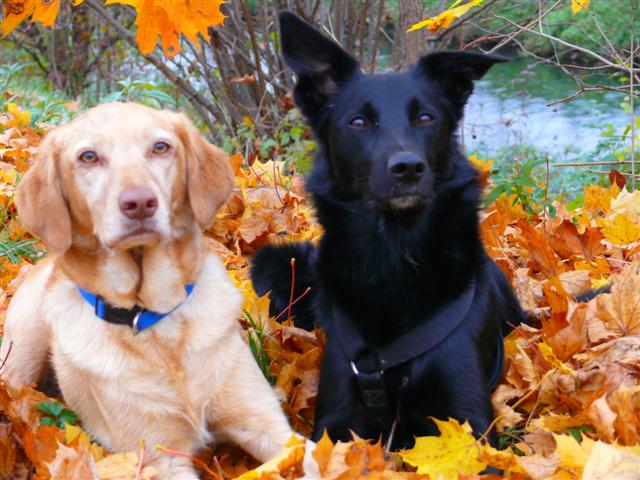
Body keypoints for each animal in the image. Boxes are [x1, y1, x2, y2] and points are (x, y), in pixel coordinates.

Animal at [250, 14, 524, 450]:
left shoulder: (469, 424)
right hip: (275, 263)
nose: (408, 168)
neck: (394, 254)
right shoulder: (336, 419)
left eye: (426, 118)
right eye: (359, 122)